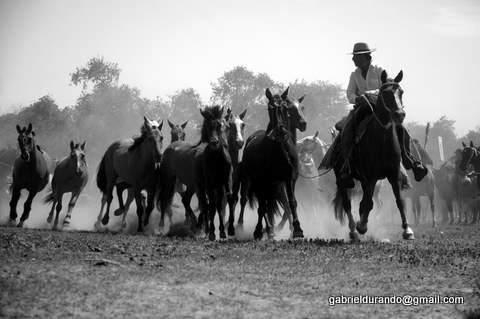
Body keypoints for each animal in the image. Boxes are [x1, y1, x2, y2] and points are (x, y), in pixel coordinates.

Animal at [242, 87, 306, 240]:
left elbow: (292, 203)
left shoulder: (289, 179)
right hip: (258, 182)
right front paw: (260, 231)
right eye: (270, 108)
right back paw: (267, 229)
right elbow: (265, 206)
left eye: (284, 107)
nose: (280, 131)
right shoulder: (264, 181)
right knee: (264, 204)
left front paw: (297, 229)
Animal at [332, 70, 414, 240]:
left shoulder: (393, 175)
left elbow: (399, 201)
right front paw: (362, 226)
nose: (400, 114)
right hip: (342, 179)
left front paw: (407, 230)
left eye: (401, 92)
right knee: (347, 204)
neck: (381, 141)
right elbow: (367, 203)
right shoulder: (369, 176)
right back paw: (354, 231)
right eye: (386, 93)